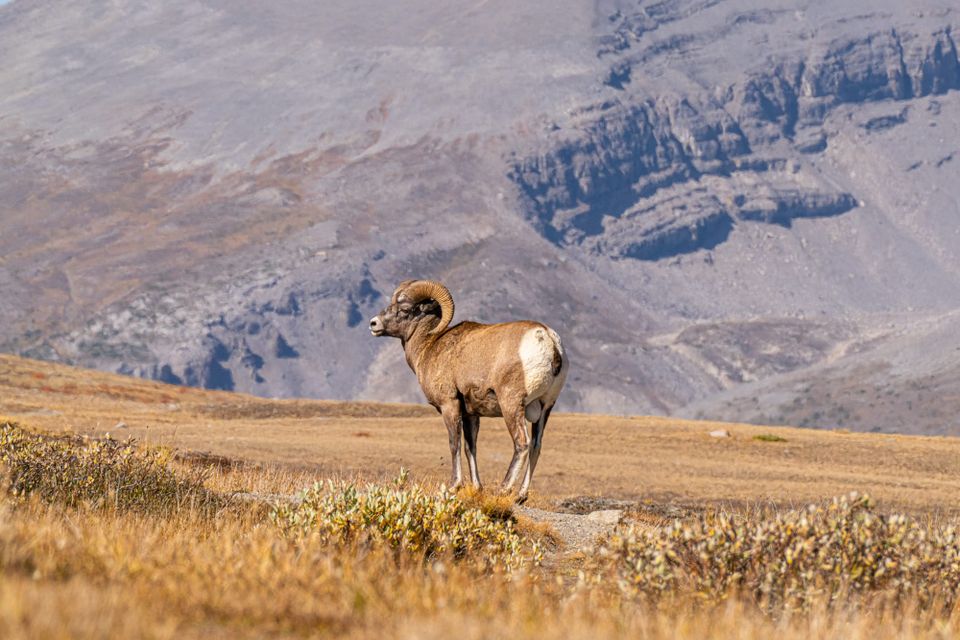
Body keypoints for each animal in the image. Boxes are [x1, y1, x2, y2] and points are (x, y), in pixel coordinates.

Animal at [369, 279, 568, 503]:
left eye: (404, 309)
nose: (374, 324)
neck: (430, 345)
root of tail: (549, 342)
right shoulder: (471, 414)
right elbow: (469, 447)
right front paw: (477, 487)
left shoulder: (450, 405)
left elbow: (454, 443)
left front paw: (454, 486)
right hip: (545, 408)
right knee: (535, 445)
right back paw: (520, 496)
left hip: (511, 405)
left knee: (522, 444)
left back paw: (503, 490)